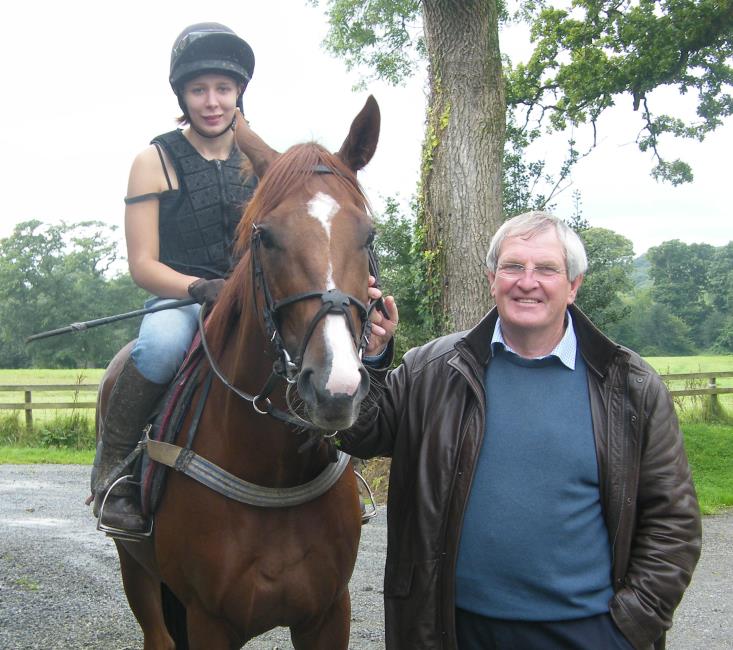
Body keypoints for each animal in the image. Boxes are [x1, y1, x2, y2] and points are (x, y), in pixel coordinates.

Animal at [99, 96, 384, 648]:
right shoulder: (211, 620)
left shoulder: (328, 614)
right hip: (136, 572)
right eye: (265, 237)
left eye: (368, 236)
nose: (334, 387)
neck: (273, 471)